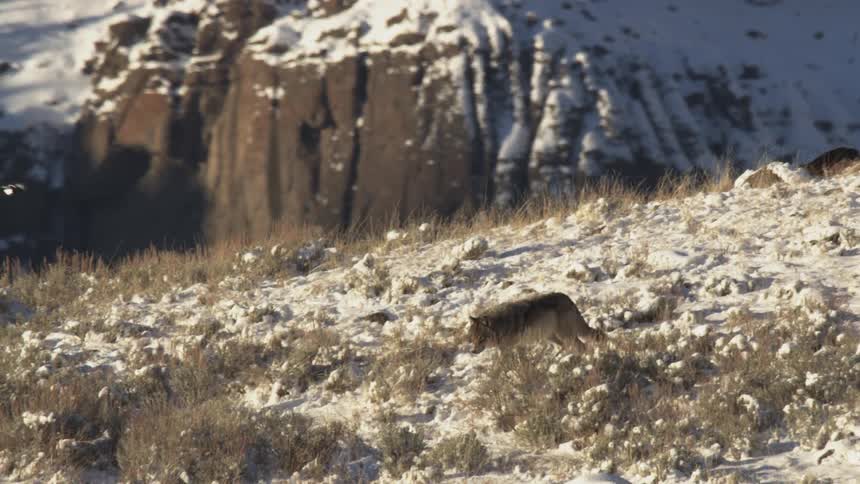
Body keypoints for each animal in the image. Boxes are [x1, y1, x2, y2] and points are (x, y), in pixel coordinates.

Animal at [468, 292, 604, 353]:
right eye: (473, 339)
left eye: (481, 339)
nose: (473, 351)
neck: (501, 325)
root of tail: (568, 297)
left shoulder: (512, 347)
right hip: (551, 337)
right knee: (566, 346)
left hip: (565, 335)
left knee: (581, 345)